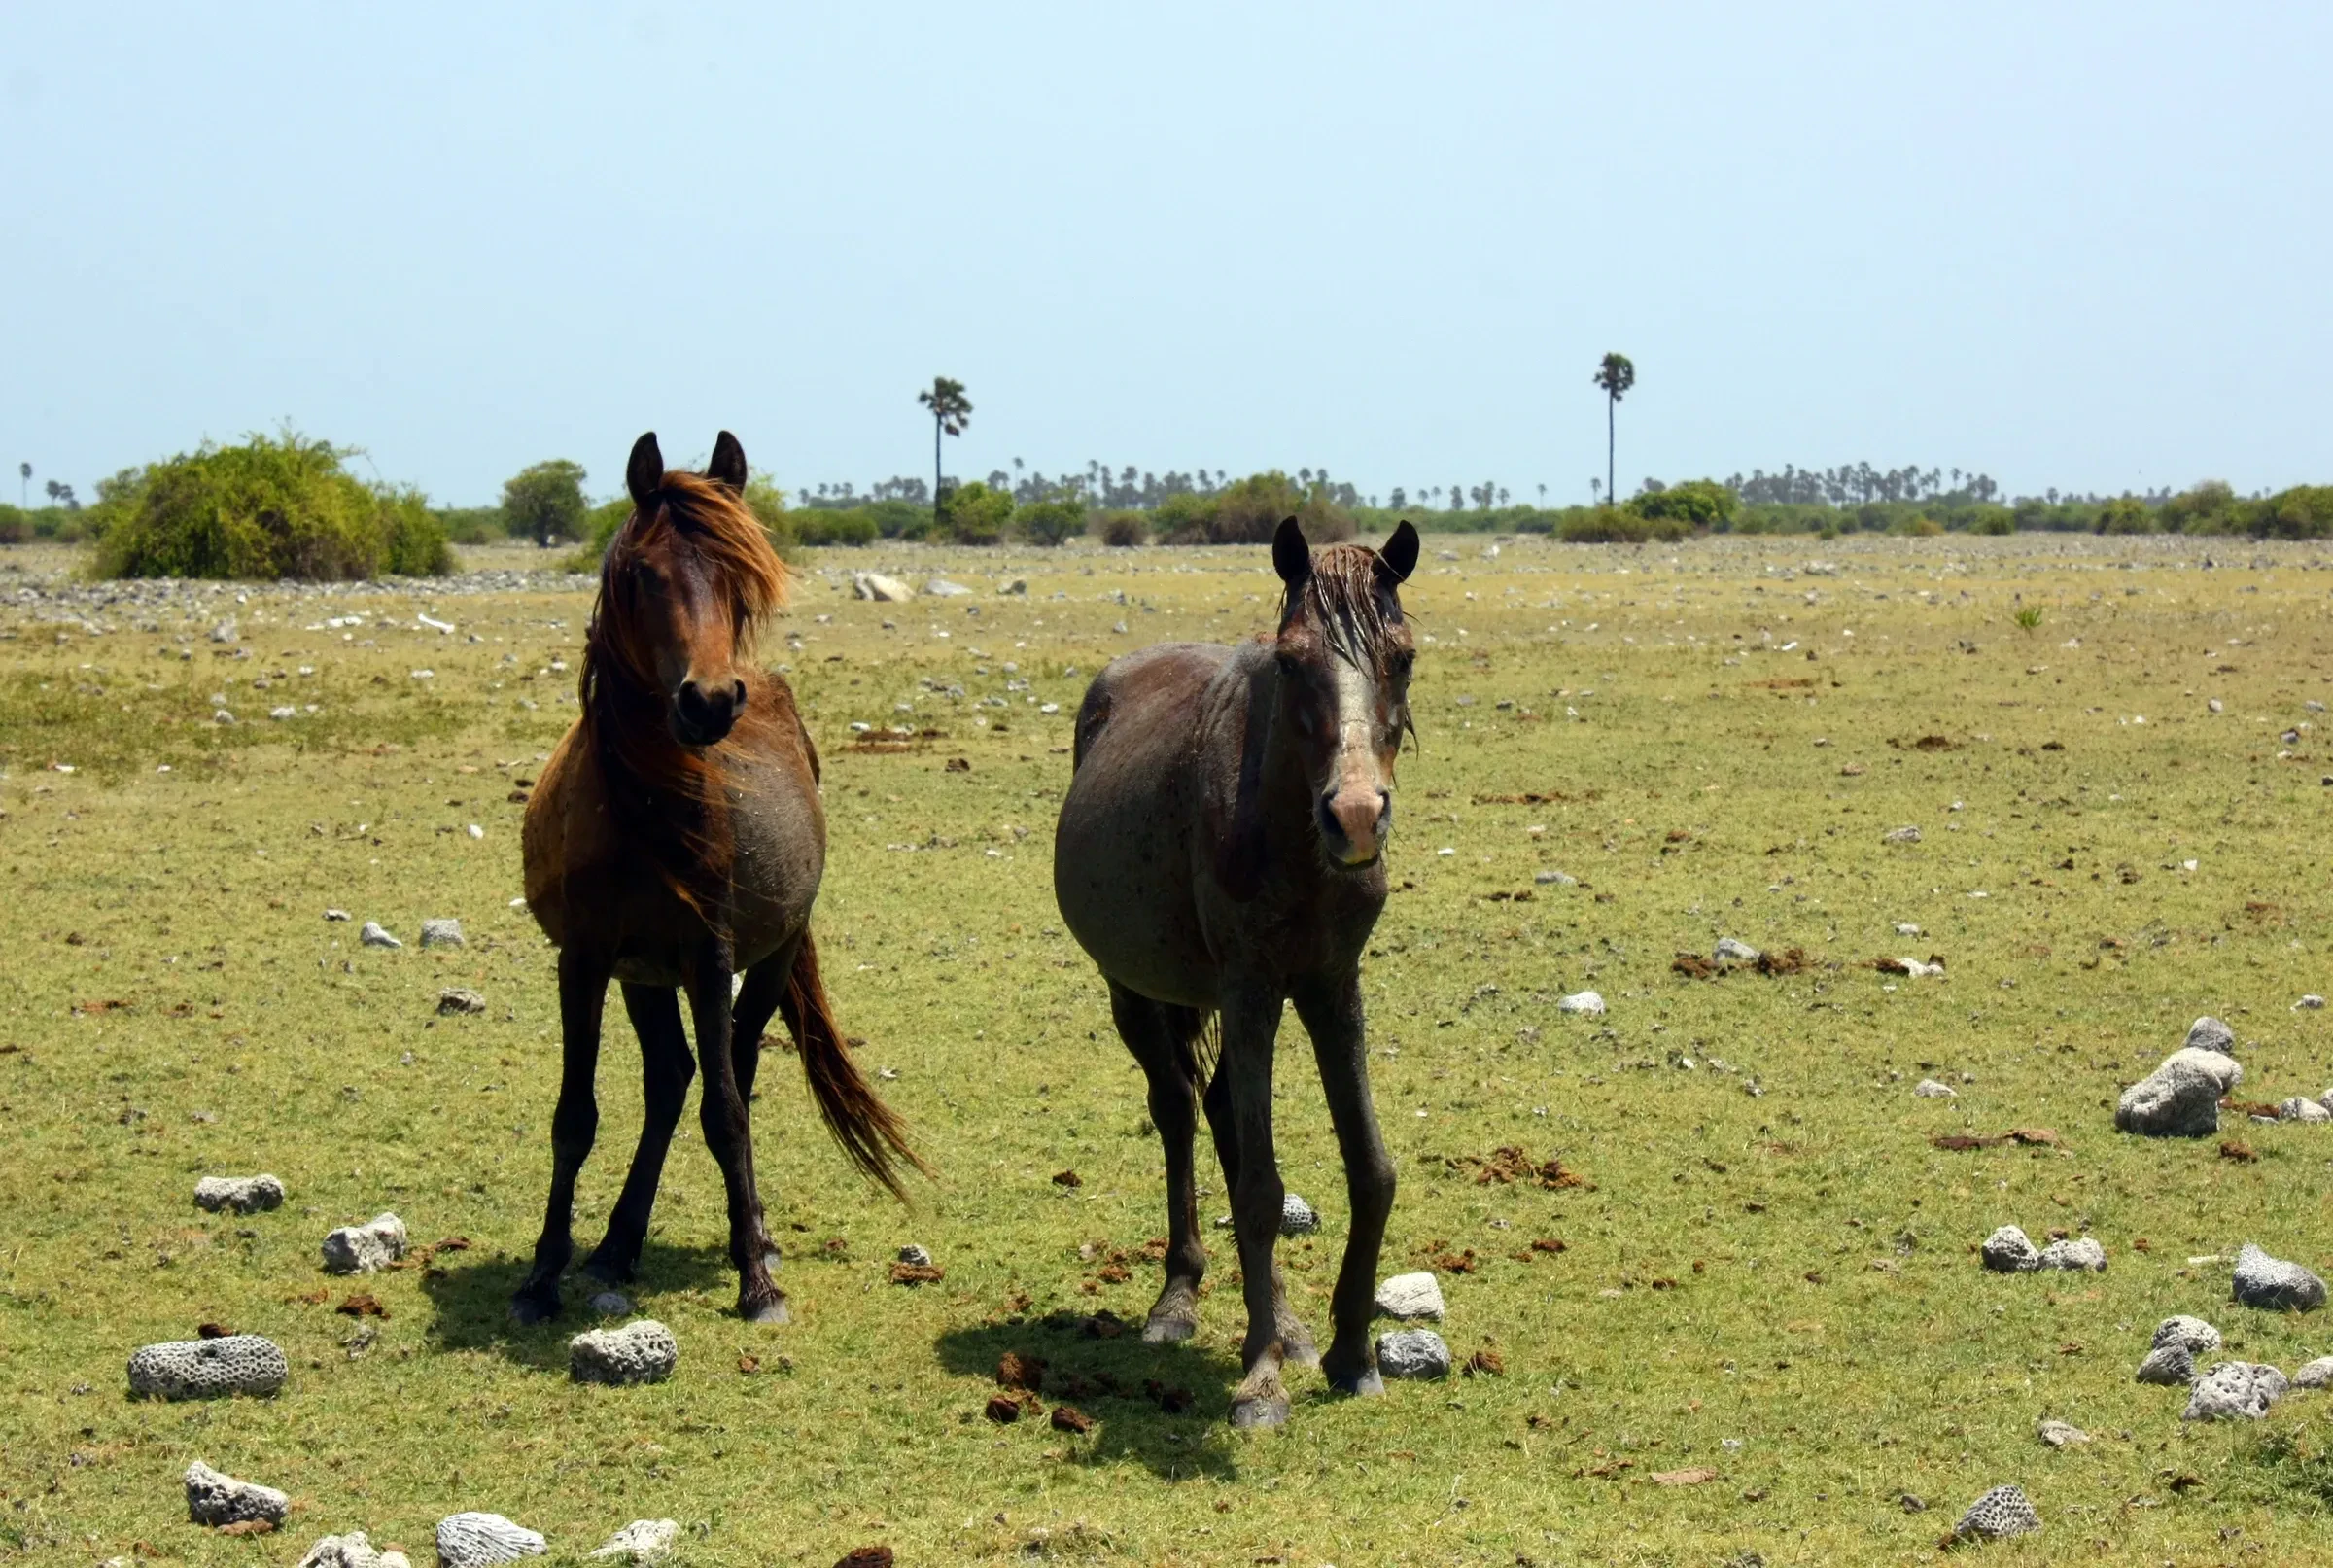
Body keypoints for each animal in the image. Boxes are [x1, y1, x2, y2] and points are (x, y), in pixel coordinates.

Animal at [513, 430, 924, 1326]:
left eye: (740, 576)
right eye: (642, 573)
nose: (707, 700)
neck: (641, 808)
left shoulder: (710, 955)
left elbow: (728, 1112)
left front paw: (757, 1281)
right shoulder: (584, 960)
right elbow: (574, 1114)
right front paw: (542, 1273)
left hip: (764, 962)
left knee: (729, 1070)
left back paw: (750, 1237)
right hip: (644, 976)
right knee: (670, 1081)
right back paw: (616, 1246)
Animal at [1053, 516, 1421, 1426]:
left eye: (1403, 656)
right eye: (1290, 660)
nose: (1354, 815)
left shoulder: (1332, 986)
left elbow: (1371, 1169)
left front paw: (1350, 1352)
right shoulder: (1252, 987)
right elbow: (1257, 1189)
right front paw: (1260, 1378)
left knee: (1218, 1109)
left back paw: (1287, 1322)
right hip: (1137, 993)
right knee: (1180, 1110)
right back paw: (1178, 1298)